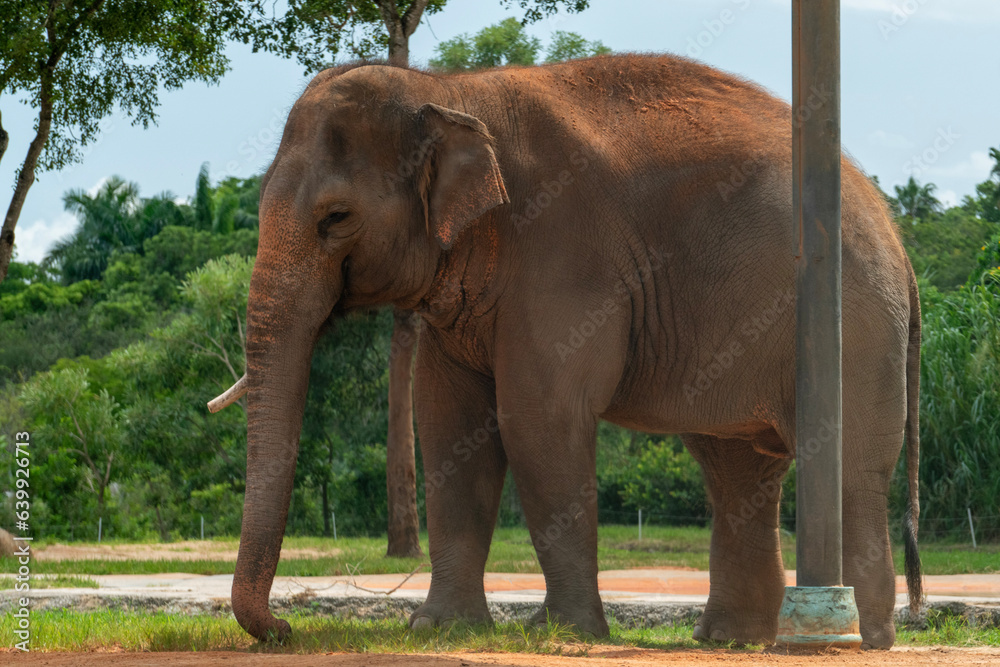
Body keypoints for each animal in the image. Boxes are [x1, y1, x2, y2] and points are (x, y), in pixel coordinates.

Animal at [210, 53, 921, 649]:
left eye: (335, 218)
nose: (286, 628)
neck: (451, 92)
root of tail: (895, 233)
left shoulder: (564, 255)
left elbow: (538, 419)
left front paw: (560, 631)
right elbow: (447, 428)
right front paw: (440, 629)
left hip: (853, 327)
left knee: (844, 465)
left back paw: (862, 638)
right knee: (736, 470)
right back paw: (730, 641)